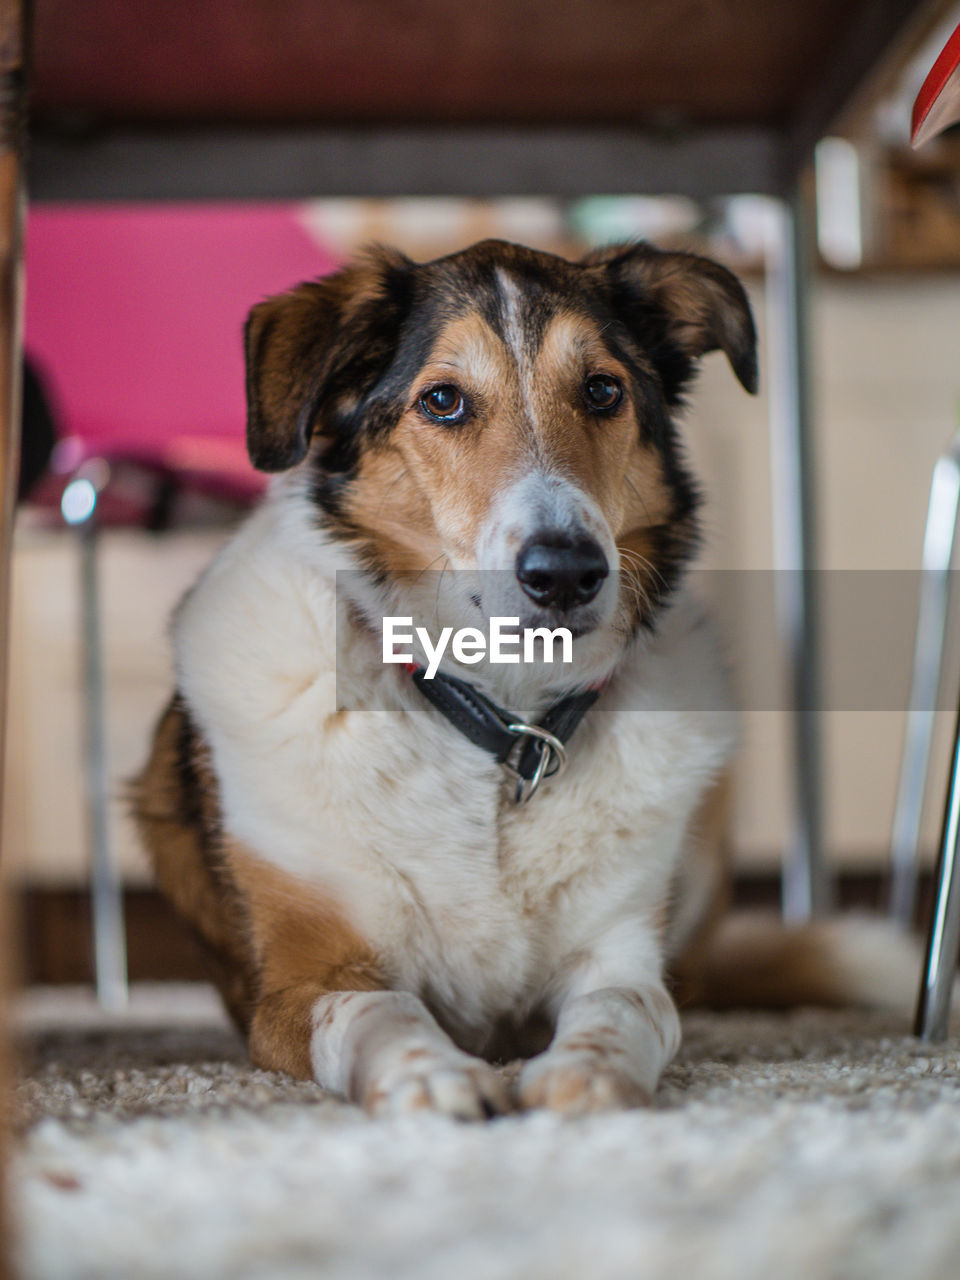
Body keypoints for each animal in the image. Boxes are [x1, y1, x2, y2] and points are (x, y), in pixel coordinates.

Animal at [135, 241, 916, 1121]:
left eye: (603, 390)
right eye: (442, 401)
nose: (567, 572)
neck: (506, 729)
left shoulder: (619, 954)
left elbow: (630, 1007)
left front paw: (588, 1074)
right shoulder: (296, 984)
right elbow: (379, 1009)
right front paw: (427, 1075)